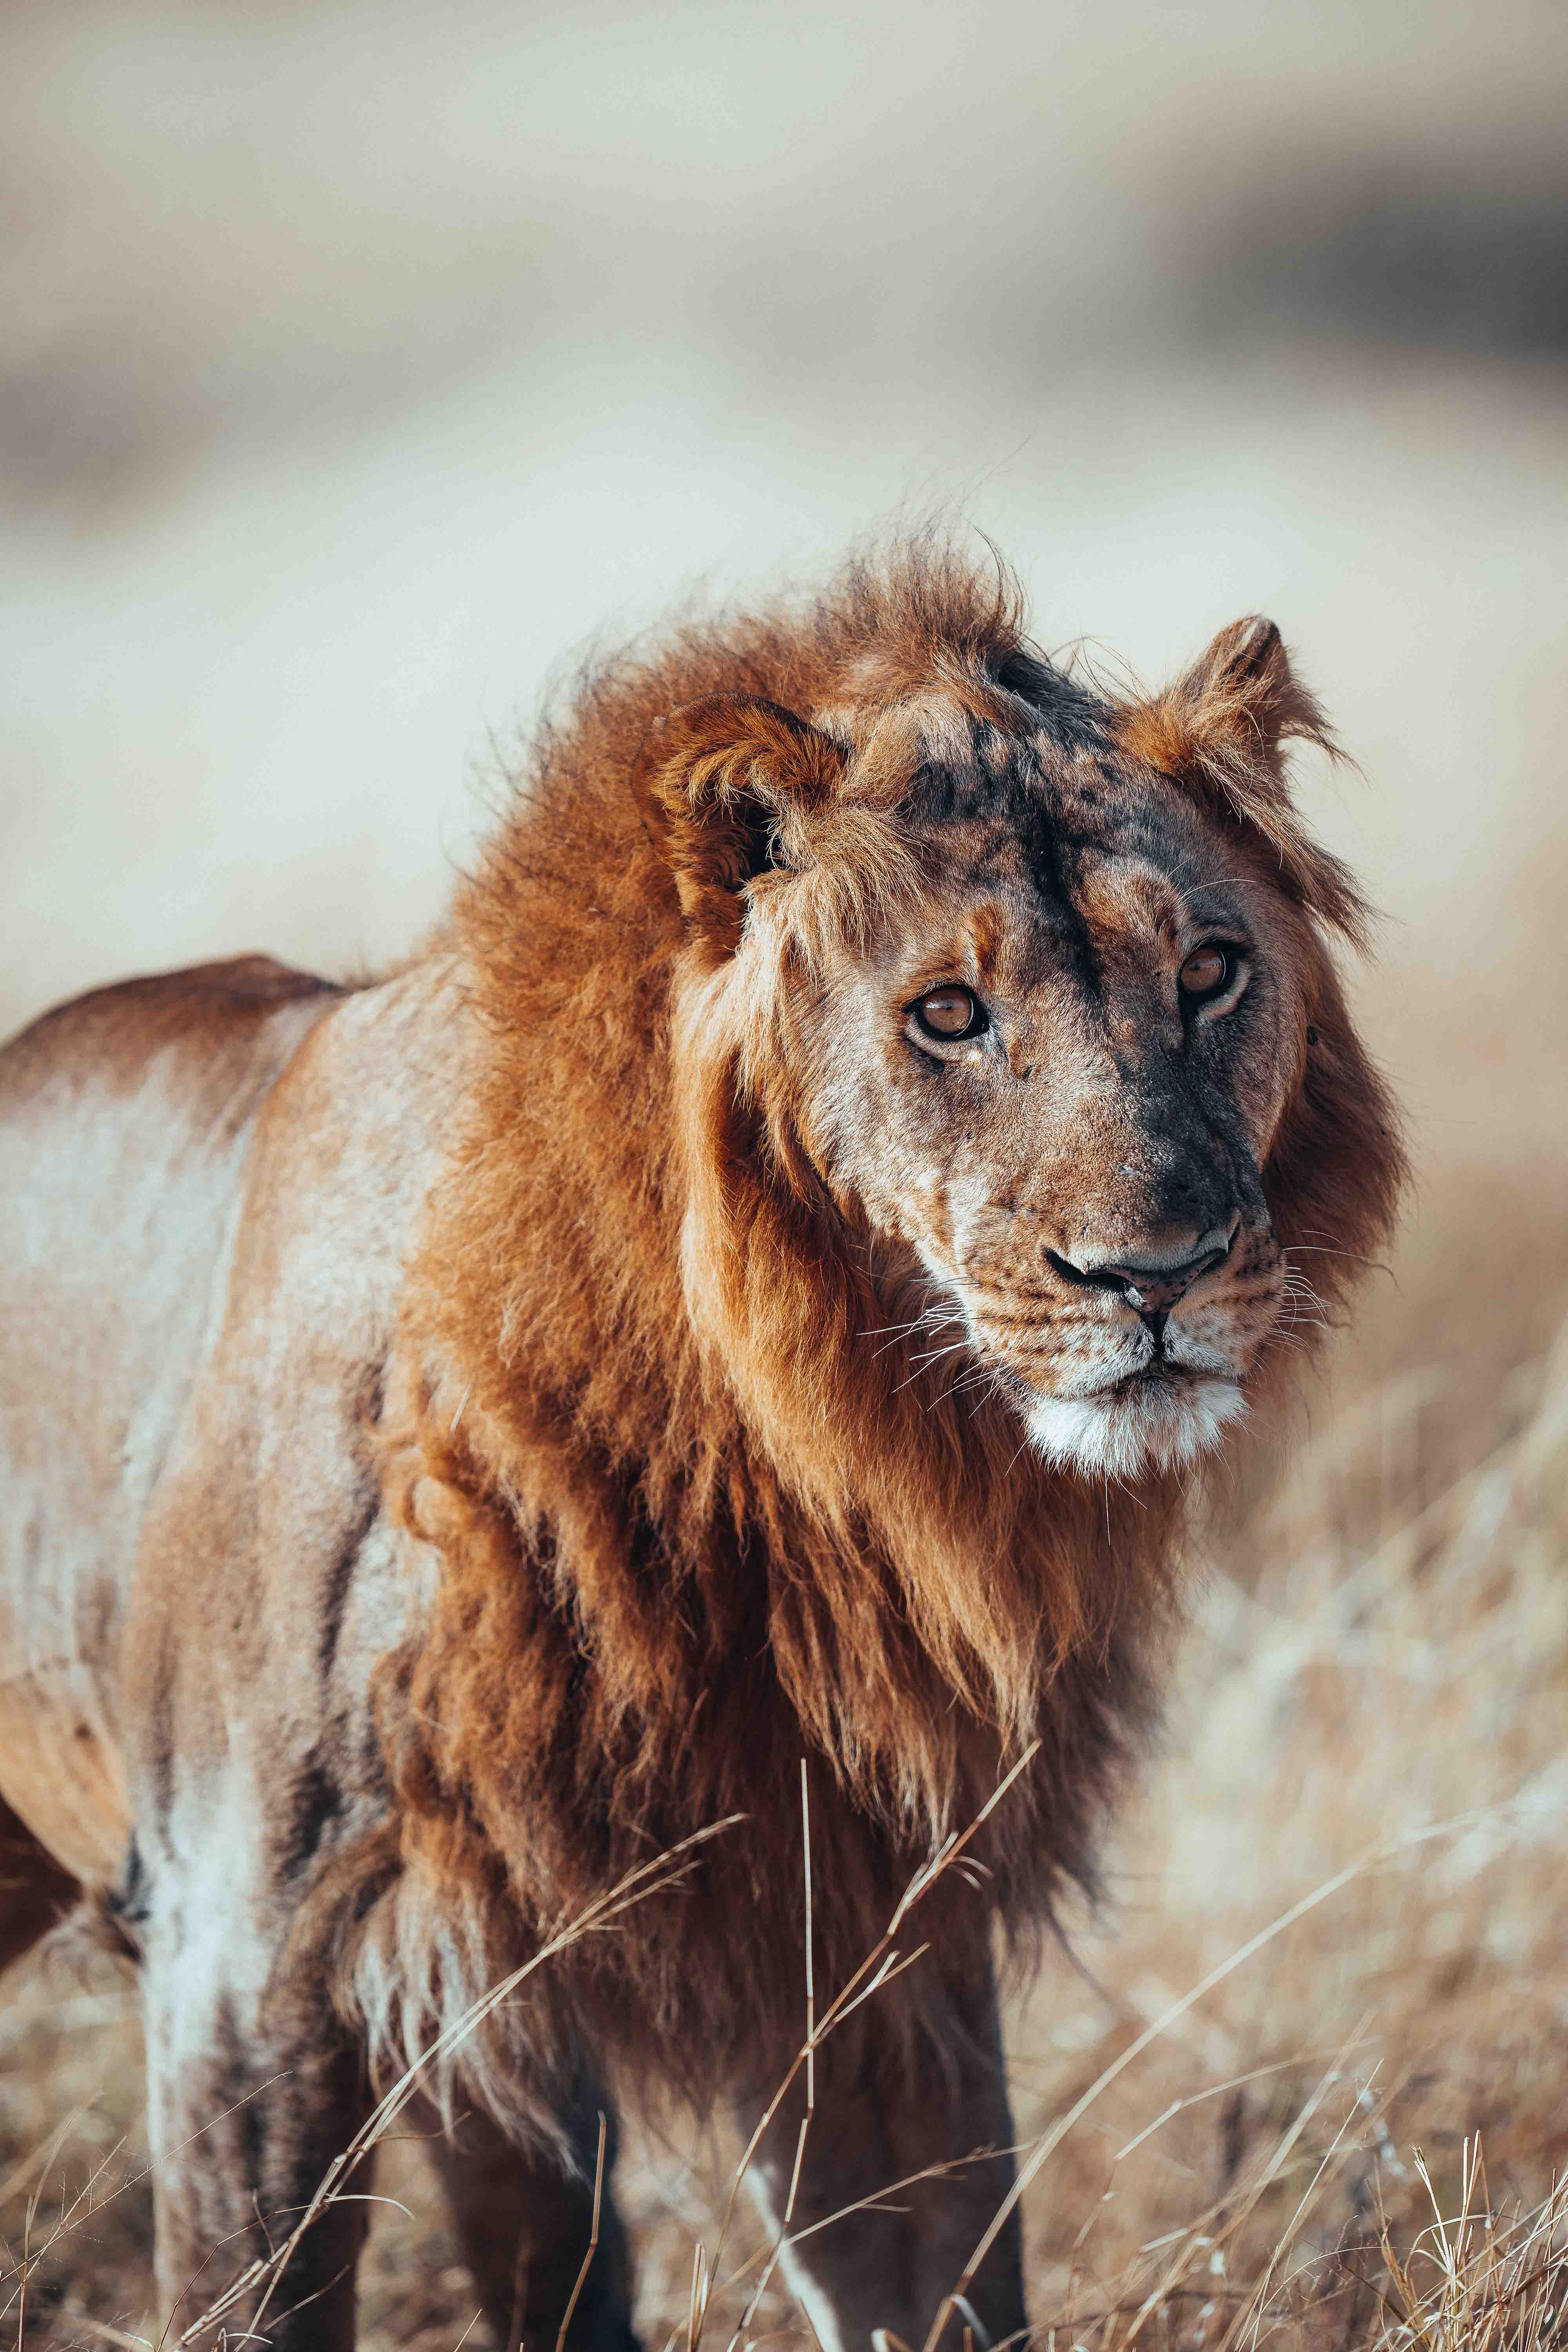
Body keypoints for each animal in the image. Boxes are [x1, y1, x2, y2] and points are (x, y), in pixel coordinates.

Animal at [0, 543, 1403, 2349]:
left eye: (1211, 971)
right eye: (947, 1014)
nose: (1156, 1272)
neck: (772, 1450)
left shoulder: (867, 1941)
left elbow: (947, 2283)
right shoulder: (248, 1952)